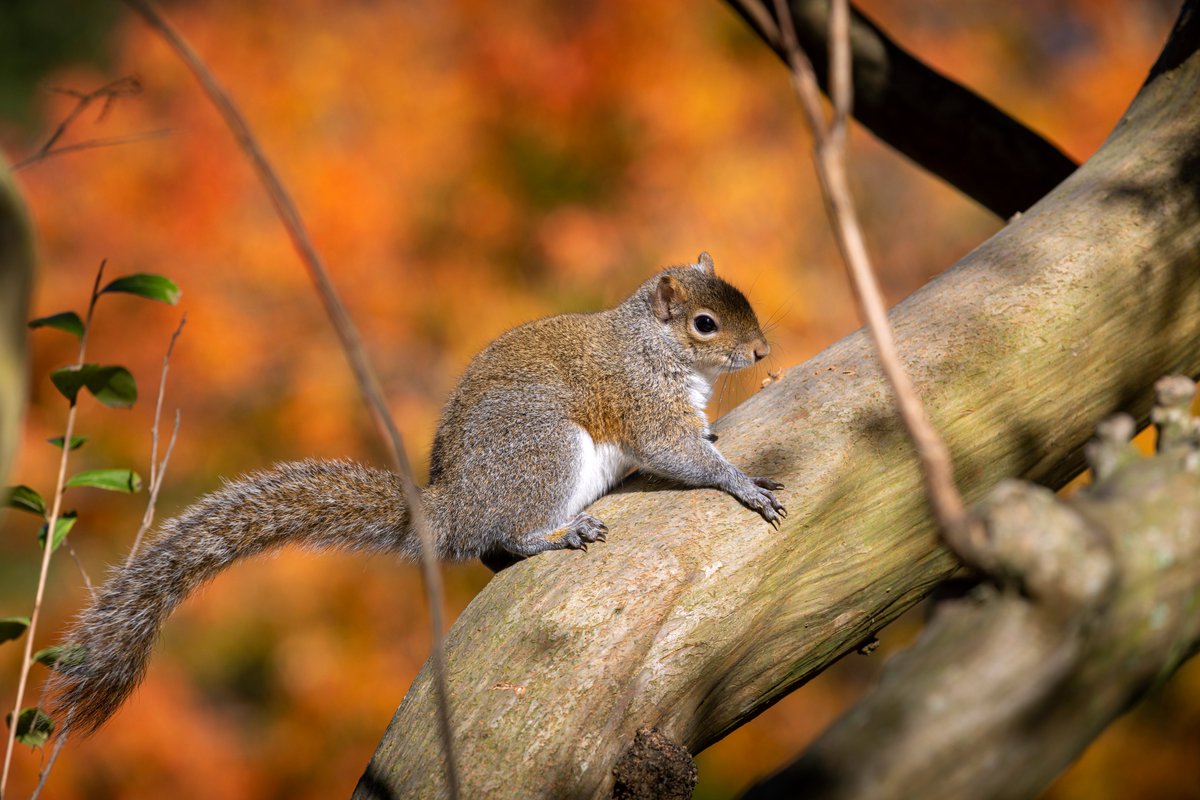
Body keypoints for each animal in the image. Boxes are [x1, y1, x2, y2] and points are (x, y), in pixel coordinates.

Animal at [49, 252, 786, 735]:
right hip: (545, 450)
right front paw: (744, 483)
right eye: (705, 324)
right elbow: (675, 452)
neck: (651, 347)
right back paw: (558, 532)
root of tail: (455, 508)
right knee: (506, 537)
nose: (761, 353)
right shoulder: (641, 403)